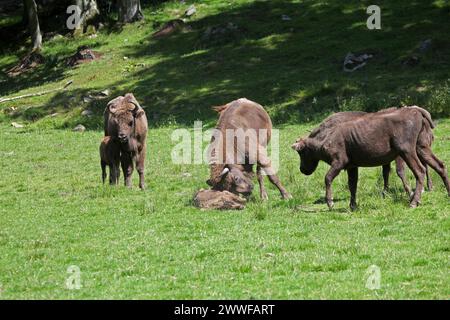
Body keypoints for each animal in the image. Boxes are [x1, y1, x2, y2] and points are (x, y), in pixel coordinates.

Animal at [292, 105, 446, 210]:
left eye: (301, 152)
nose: (302, 169)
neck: (326, 138)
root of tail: (417, 111)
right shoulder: (352, 166)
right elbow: (352, 185)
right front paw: (353, 206)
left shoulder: (339, 162)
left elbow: (328, 178)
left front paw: (330, 202)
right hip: (421, 148)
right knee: (438, 165)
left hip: (406, 151)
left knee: (420, 170)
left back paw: (414, 201)